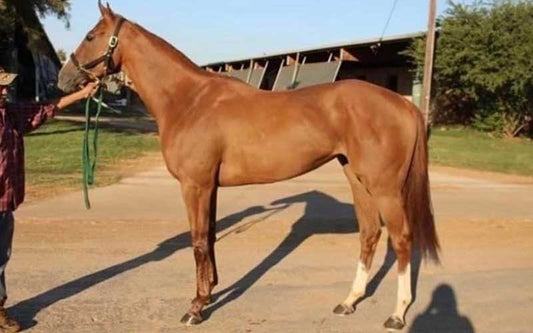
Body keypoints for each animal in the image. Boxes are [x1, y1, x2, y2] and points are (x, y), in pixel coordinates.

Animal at [58, 3, 438, 330]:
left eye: (90, 35)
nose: (63, 78)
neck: (189, 100)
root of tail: (404, 104)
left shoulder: (195, 185)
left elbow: (198, 240)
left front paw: (196, 307)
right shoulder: (209, 187)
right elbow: (210, 237)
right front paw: (210, 291)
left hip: (385, 187)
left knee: (402, 239)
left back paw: (397, 314)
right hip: (358, 180)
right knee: (370, 234)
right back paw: (349, 302)